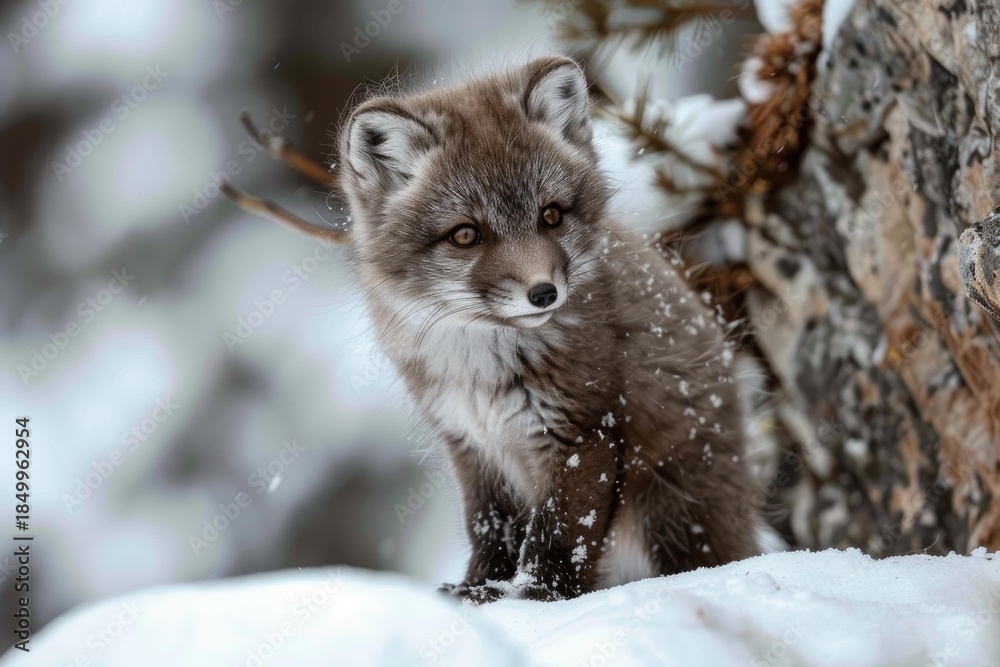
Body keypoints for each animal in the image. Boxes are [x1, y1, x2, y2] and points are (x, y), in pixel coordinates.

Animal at [229, 56, 766, 602]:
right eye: (466, 234)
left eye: (551, 215)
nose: (544, 293)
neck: (479, 371)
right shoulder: (471, 444)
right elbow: (491, 529)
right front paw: (476, 589)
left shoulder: (584, 432)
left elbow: (559, 538)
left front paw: (534, 597)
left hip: (674, 514)